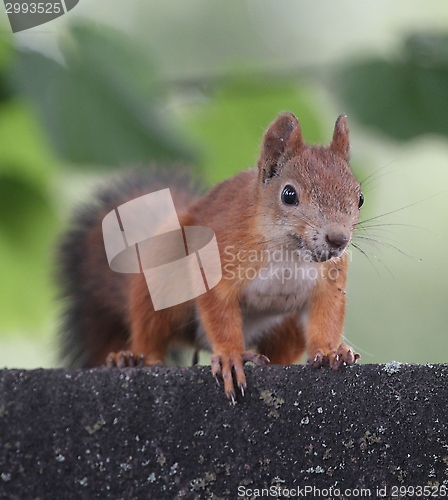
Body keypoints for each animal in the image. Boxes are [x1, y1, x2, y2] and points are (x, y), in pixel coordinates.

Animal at [57, 112, 362, 402]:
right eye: (289, 195)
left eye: (359, 198)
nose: (338, 239)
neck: (289, 253)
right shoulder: (217, 261)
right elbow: (219, 311)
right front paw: (230, 356)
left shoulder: (329, 283)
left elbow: (327, 314)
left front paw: (331, 351)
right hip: (161, 283)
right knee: (150, 333)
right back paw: (130, 359)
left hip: (286, 327)